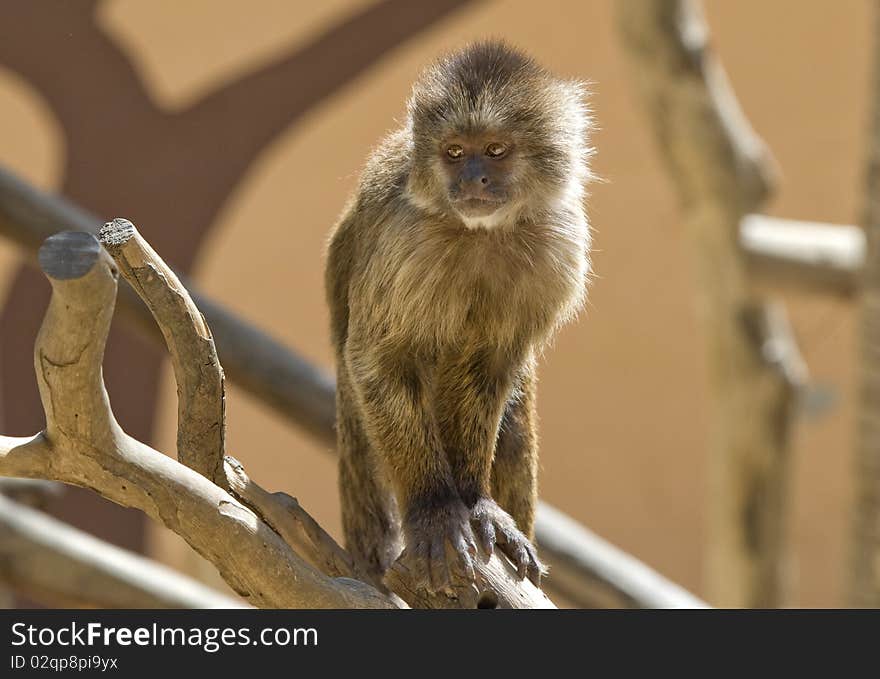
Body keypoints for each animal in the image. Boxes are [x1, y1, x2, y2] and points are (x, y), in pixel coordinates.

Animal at [326, 41, 596, 596]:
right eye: (454, 152)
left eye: (494, 150)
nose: (473, 178)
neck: (482, 233)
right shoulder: (406, 241)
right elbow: (380, 360)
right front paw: (434, 507)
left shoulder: (559, 245)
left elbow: (490, 365)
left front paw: (475, 502)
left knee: (511, 417)